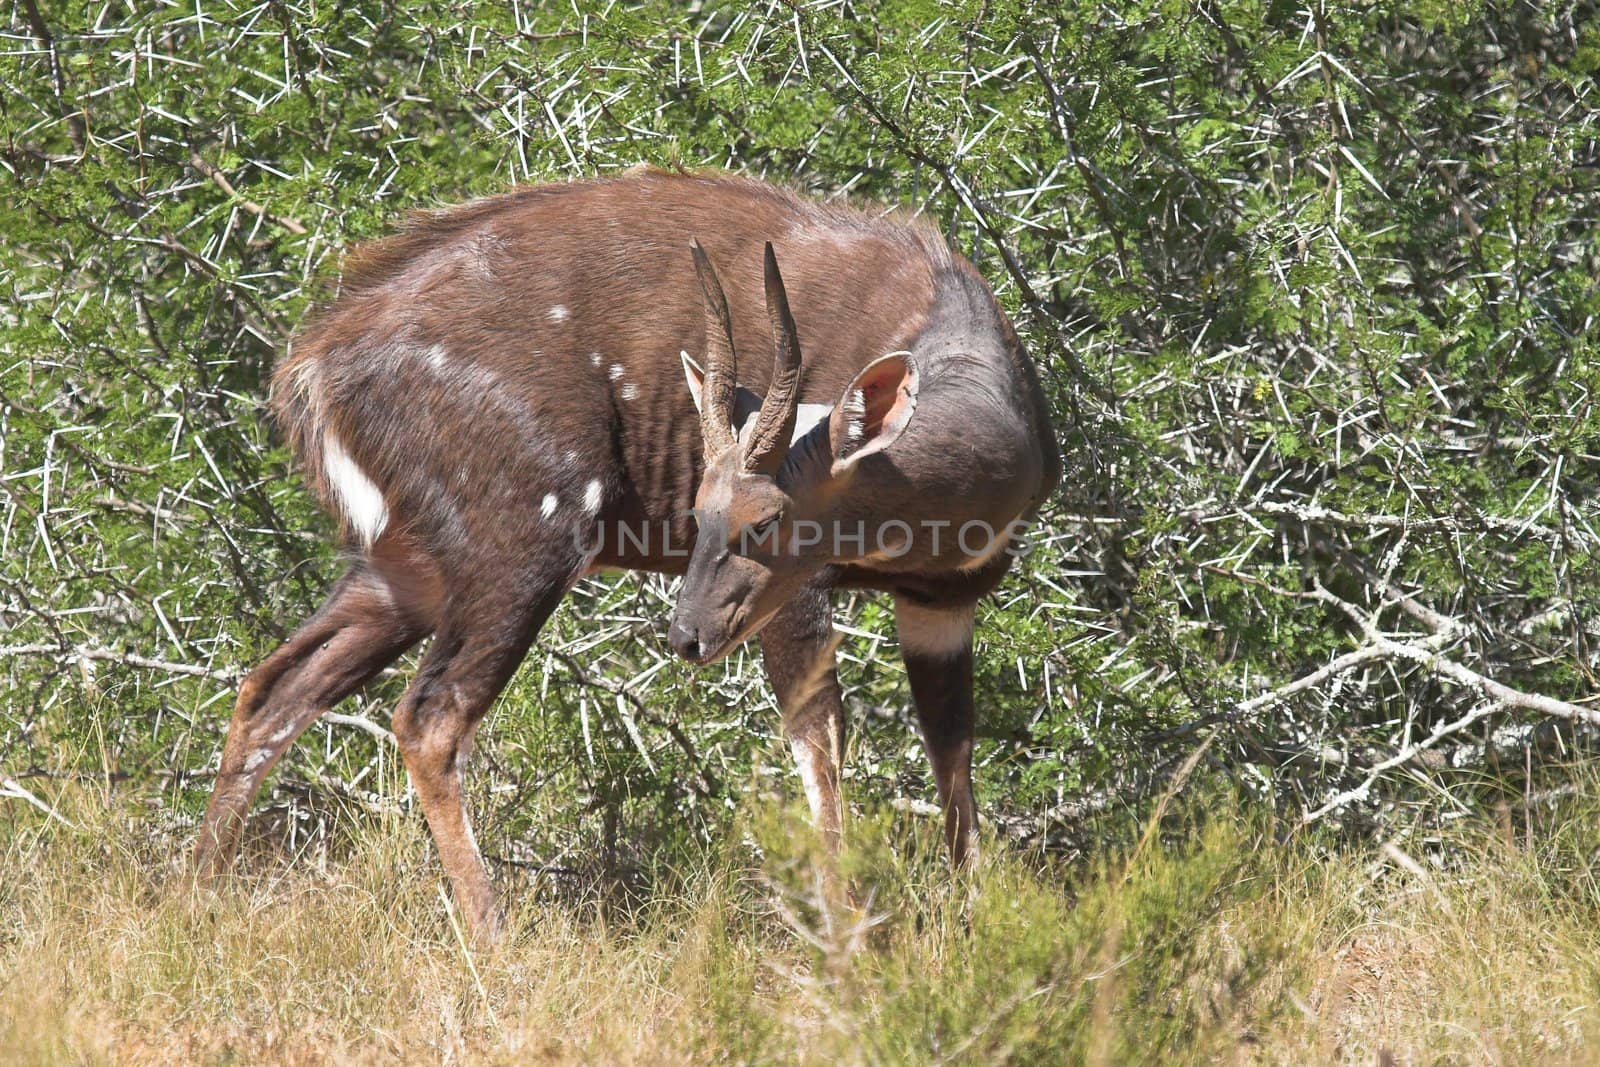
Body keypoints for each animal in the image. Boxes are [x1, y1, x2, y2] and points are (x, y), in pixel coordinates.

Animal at [196, 168, 1062, 940]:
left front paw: (973, 925)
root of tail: (314, 365)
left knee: (273, 687)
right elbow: (823, 748)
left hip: (402, 570)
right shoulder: (801, 597)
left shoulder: (944, 603)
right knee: (427, 716)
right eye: (702, 510)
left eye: (764, 517)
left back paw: (193, 896)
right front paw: (850, 936)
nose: (685, 636)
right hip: (525, 542)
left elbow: (954, 763)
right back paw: (496, 942)